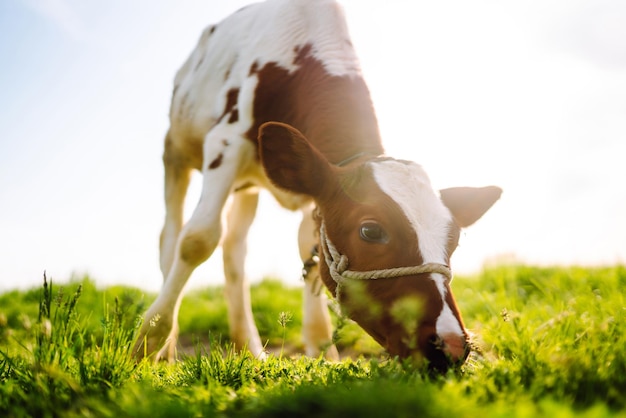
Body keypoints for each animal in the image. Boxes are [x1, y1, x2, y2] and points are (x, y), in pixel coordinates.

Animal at [133, 0, 502, 372]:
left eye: (454, 239)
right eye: (370, 230)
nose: (451, 345)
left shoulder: (315, 189)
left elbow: (308, 248)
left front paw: (322, 349)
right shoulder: (225, 142)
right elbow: (197, 239)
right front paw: (146, 343)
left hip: (247, 187)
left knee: (235, 249)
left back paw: (247, 346)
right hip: (176, 150)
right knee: (172, 237)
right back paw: (168, 345)